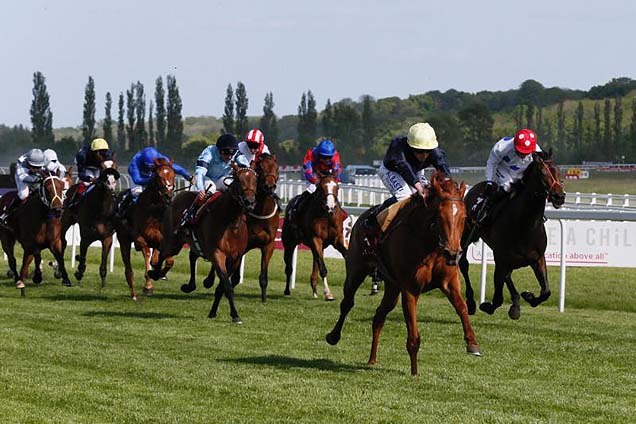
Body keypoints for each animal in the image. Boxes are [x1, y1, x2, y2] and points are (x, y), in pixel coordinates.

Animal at [114, 157, 176, 300]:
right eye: (158, 176)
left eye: (173, 175)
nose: (168, 195)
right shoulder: (143, 236)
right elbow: (149, 256)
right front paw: (149, 284)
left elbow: (166, 260)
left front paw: (159, 273)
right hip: (124, 239)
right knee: (130, 268)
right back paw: (136, 293)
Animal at [148, 164, 256, 322]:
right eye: (239, 180)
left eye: (255, 180)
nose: (249, 202)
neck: (230, 221)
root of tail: (177, 196)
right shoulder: (217, 253)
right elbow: (226, 284)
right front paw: (235, 315)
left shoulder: (235, 258)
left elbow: (222, 286)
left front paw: (214, 312)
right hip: (173, 241)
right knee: (163, 253)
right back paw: (155, 273)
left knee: (192, 256)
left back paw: (190, 285)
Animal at [326, 174, 480, 376]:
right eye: (440, 216)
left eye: (463, 217)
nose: (453, 254)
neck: (428, 243)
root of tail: (362, 218)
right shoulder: (410, 288)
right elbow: (413, 335)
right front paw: (414, 372)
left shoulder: (449, 282)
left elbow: (462, 307)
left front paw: (472, 343)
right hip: (356, 270)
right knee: (347, 303)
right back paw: (333, 336)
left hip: (392, 286)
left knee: (379, 316)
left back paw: (372, 359)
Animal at [458, 149, 568, 318]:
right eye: (542, 172)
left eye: (558, 170)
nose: (559, 196)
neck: (525, 224)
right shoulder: (501, 257)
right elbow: (499, 293)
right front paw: (494, 306)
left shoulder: (537, 257)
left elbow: (546, 292)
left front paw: (528, 297)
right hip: (467, 235)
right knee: (463, 263)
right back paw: (470, 302)